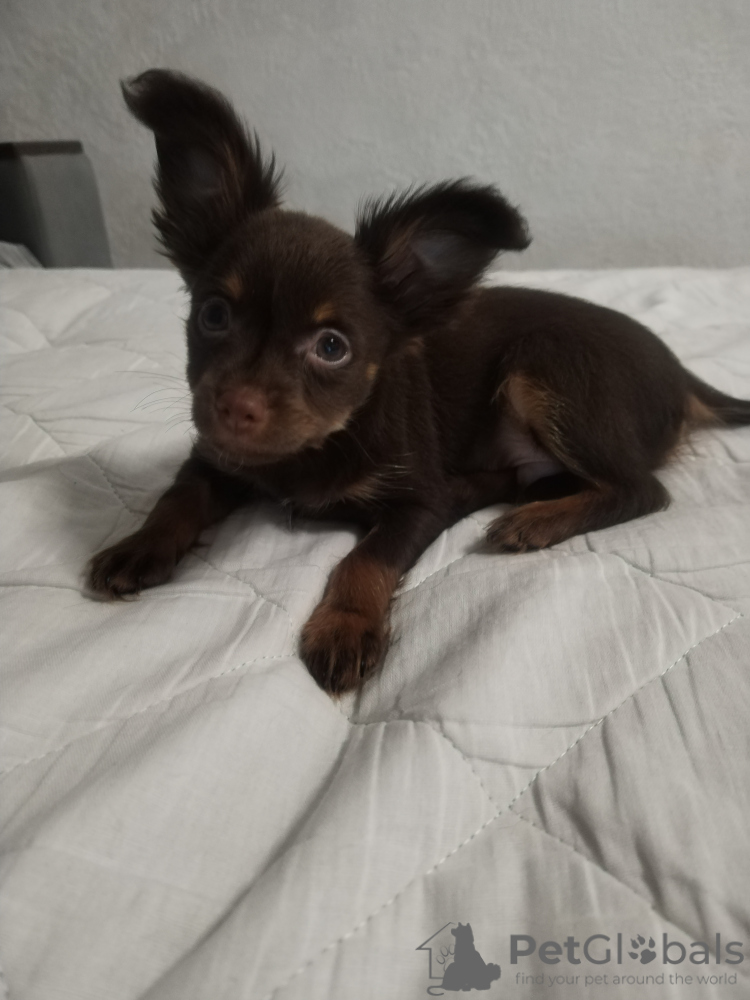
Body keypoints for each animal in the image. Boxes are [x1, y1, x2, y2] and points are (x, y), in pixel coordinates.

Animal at [88, 69, 750, 695]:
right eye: (213, 315)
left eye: (333, 348)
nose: (233, 407)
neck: (318, 444)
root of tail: (681, 371)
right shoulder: (218, 457)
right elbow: (177, 497)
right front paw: (138, 544)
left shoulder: (419, 501)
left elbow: (365, 557)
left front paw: (344, 626)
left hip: (542, 368)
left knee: (643, 489)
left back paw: (535, 520)